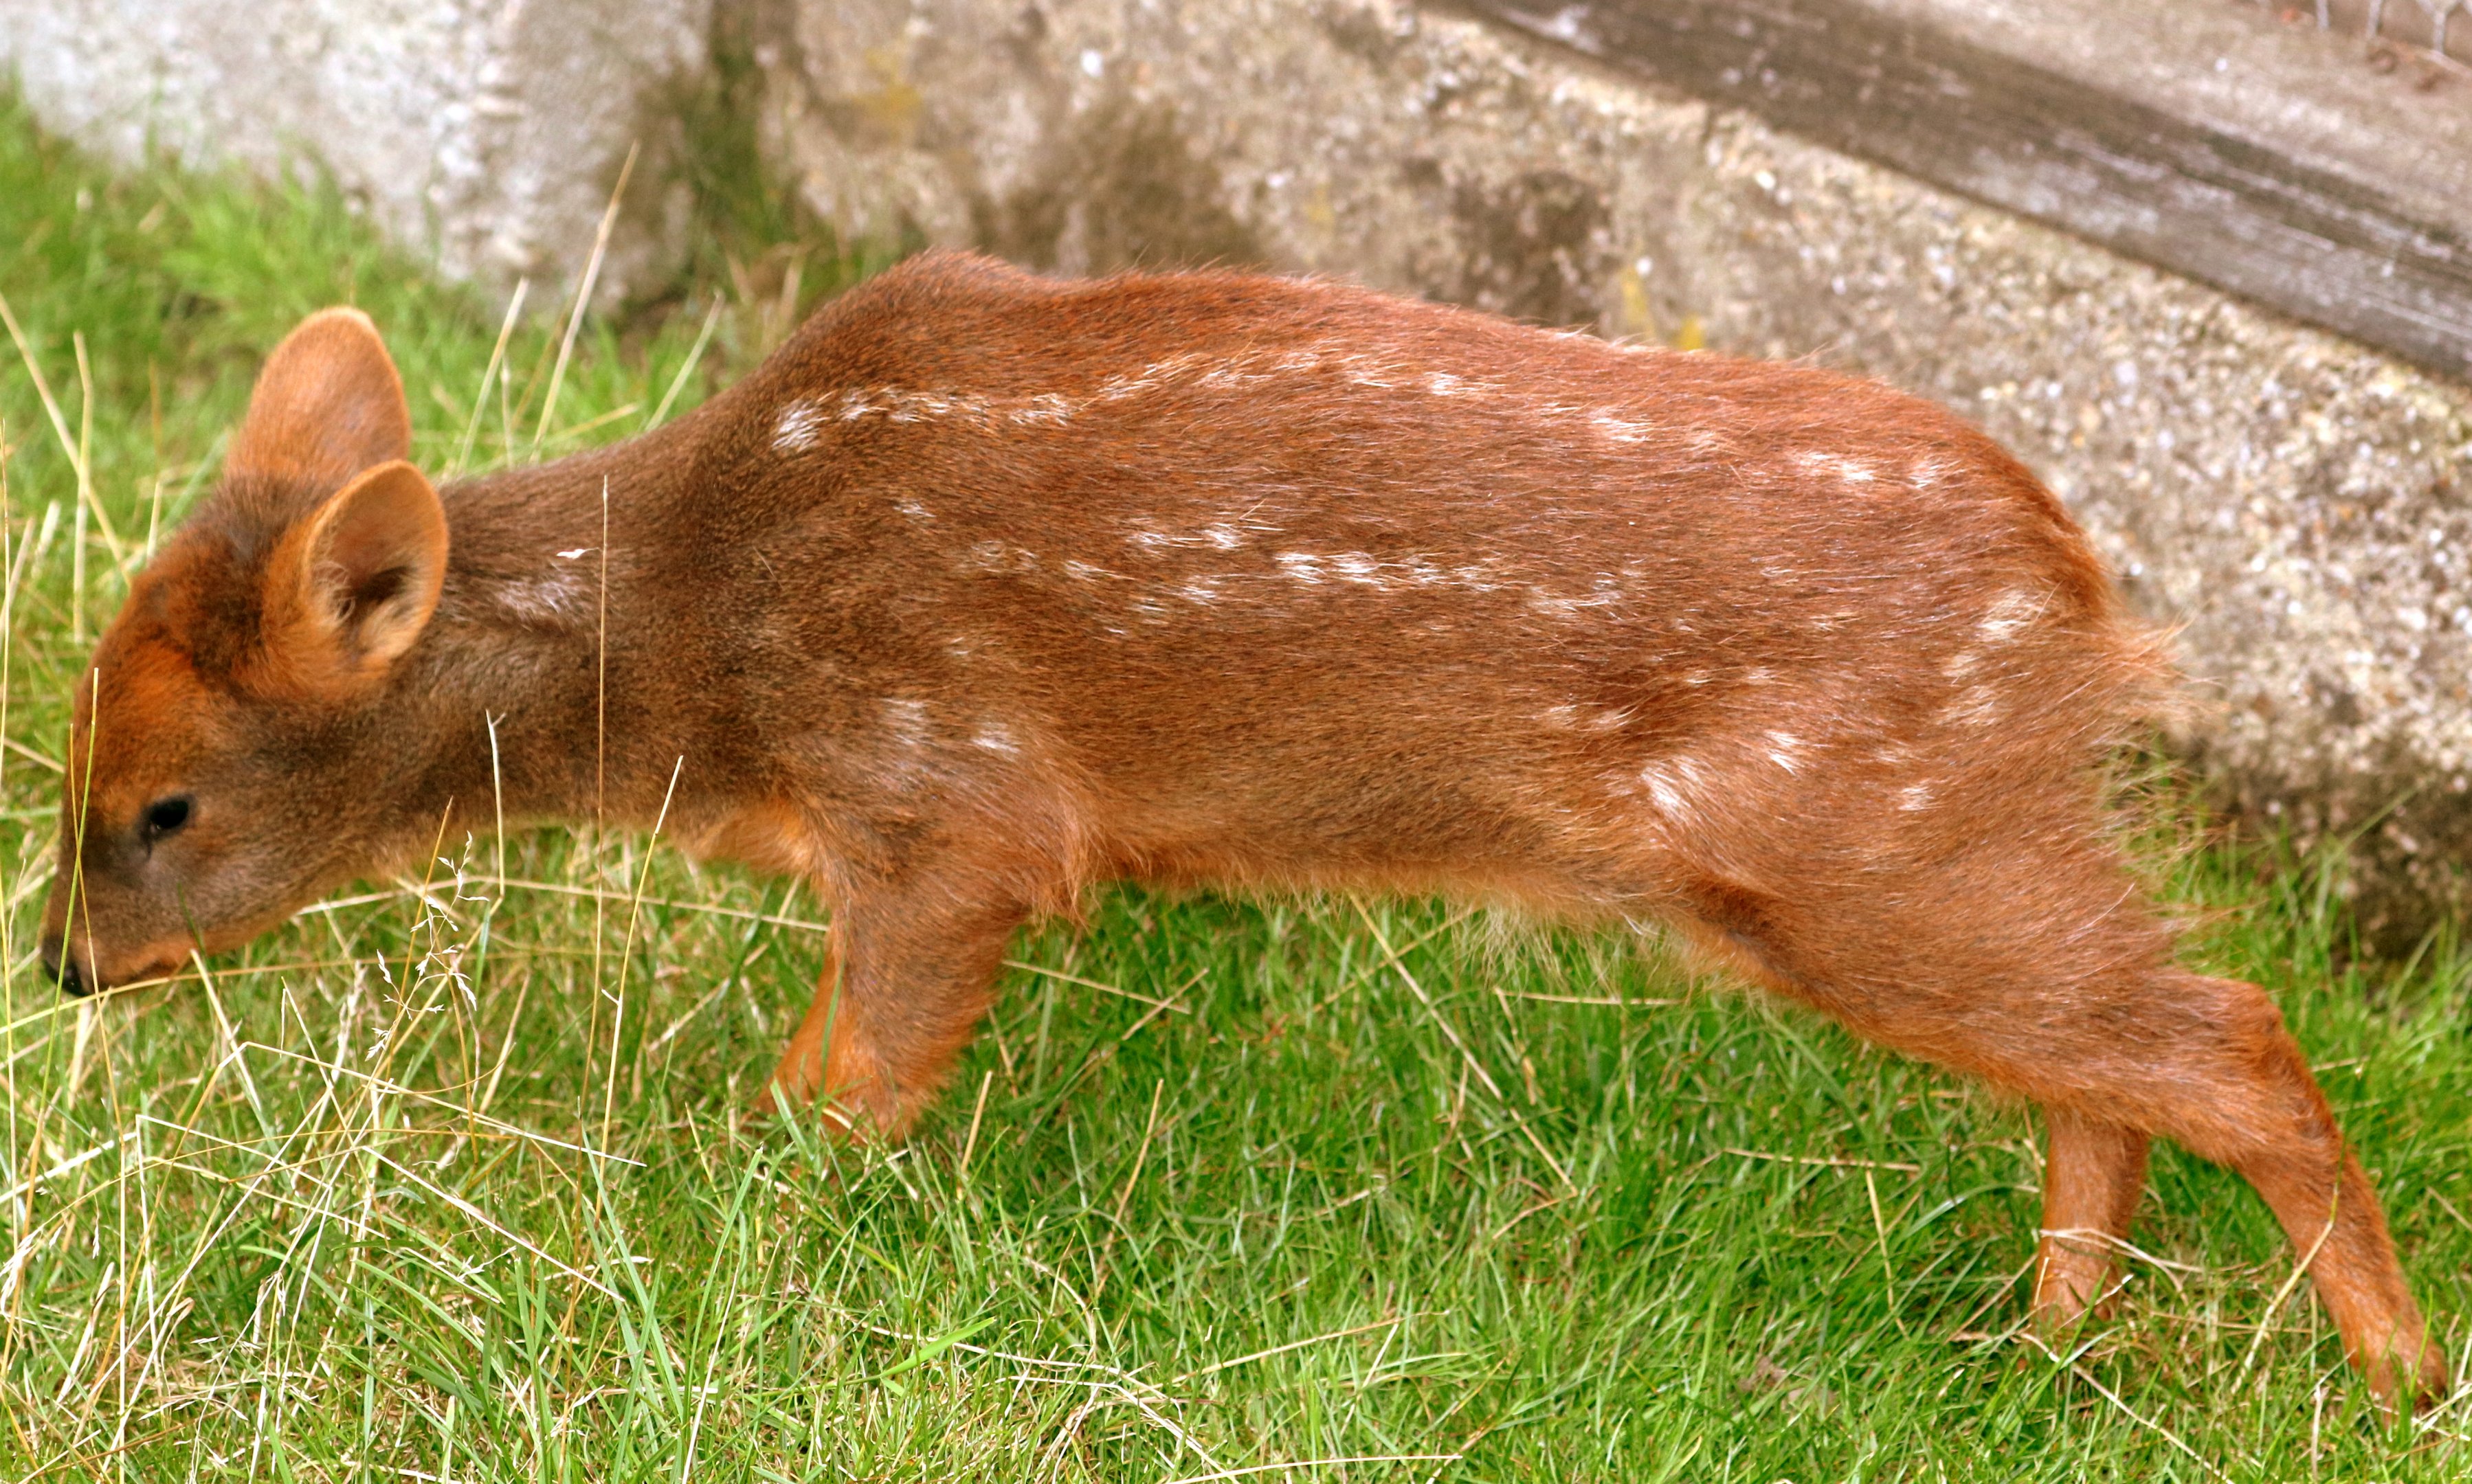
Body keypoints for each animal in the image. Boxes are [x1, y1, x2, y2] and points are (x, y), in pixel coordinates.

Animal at [38, 249, 2444, 1401]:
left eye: (164, 804)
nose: (61, 967)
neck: (711, 655)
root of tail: (2086, 596)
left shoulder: (950, 802)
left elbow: (843, 1082)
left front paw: (727, 1223)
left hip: (1865, 838)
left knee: (2222, 1030)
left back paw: (2399, 1381)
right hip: (1934, 839)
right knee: (2115, 1068)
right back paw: (2047, 1346)